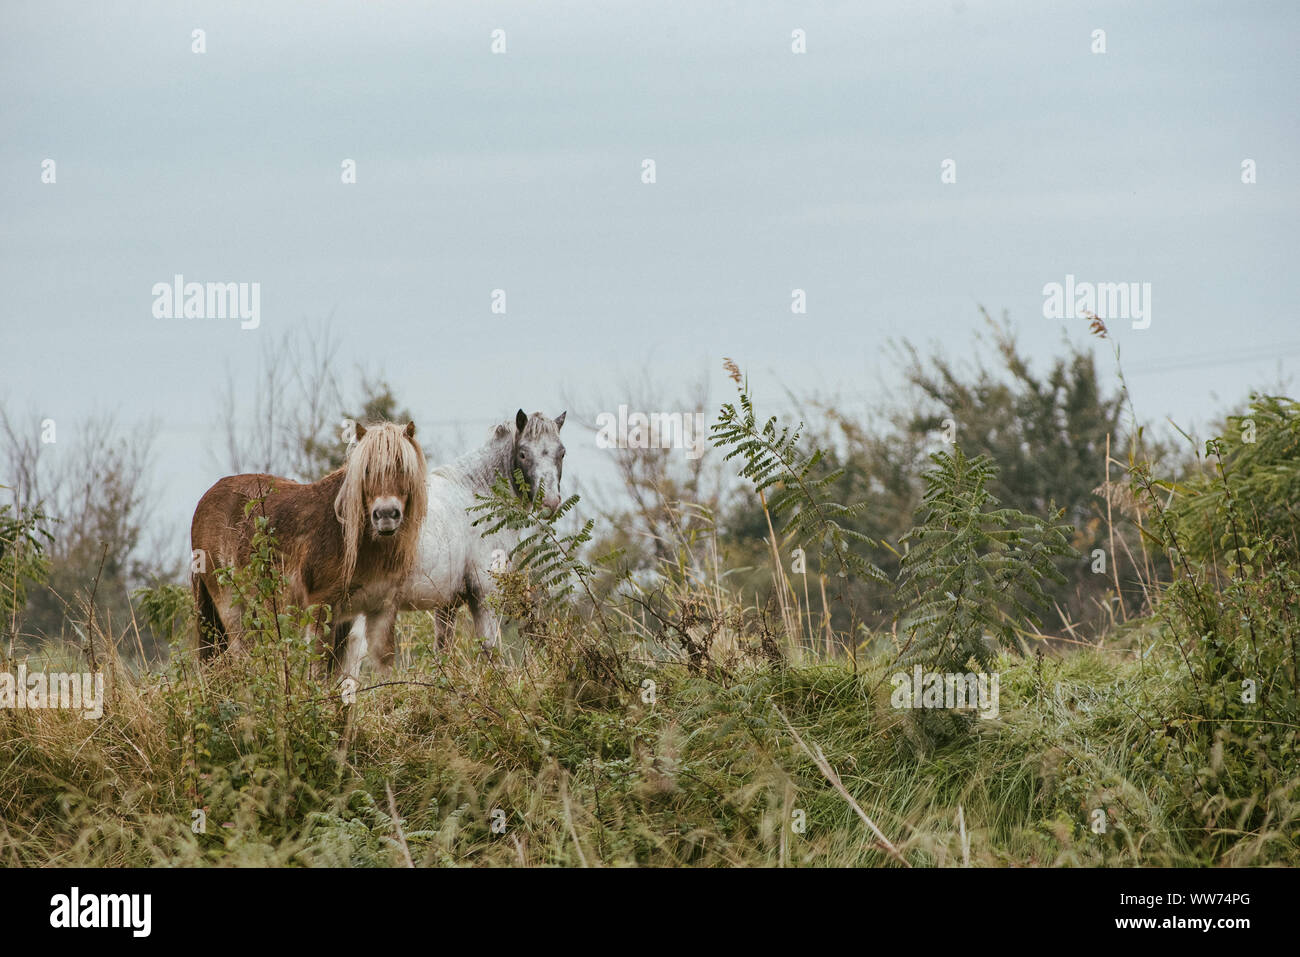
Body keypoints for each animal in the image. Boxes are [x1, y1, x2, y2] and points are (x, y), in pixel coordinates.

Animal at [189, 418, 428, 670]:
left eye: (404, 468)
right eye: (367, 470)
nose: (385, 515)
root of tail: (206, 499)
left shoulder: (382, 609)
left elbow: (381, 663)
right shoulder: (322, 606)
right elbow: (319, 664)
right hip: (230, 604)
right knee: (241, 653)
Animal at [335, 408, 564, 670]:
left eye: (562, 452)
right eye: (524, 453)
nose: (550, 502)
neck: (476, 491)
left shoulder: (447, 604)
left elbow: (443, 649)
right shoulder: (484, 594)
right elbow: (489, 648)